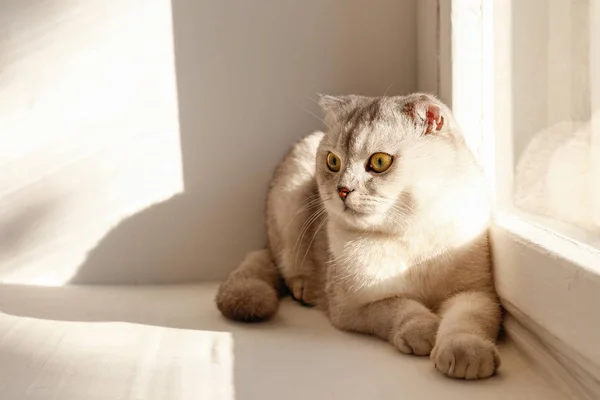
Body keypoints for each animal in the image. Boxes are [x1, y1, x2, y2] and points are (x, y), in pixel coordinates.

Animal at [216, 93, 502, 378]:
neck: (408, 236)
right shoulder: (354, 306)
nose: (343, 190)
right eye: (333, 162)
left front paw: (466, 353)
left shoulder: (475, 293)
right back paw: (305, 288)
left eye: (380, 162)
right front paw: (424, 330)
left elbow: (466, 321)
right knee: (280, 263)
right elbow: (400, 306)